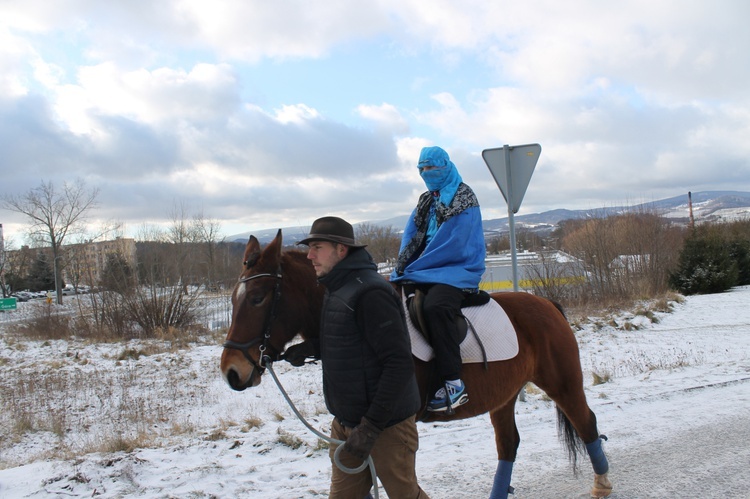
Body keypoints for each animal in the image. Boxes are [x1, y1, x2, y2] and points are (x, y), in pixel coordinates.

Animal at [220, 231, 612, 499]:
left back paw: (602, 485)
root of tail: (547, 305)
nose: (232, 372)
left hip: (563, 384)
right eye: (235, 299)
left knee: (587, 424)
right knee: (509, 445)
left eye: (257, 298)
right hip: (504, 396)